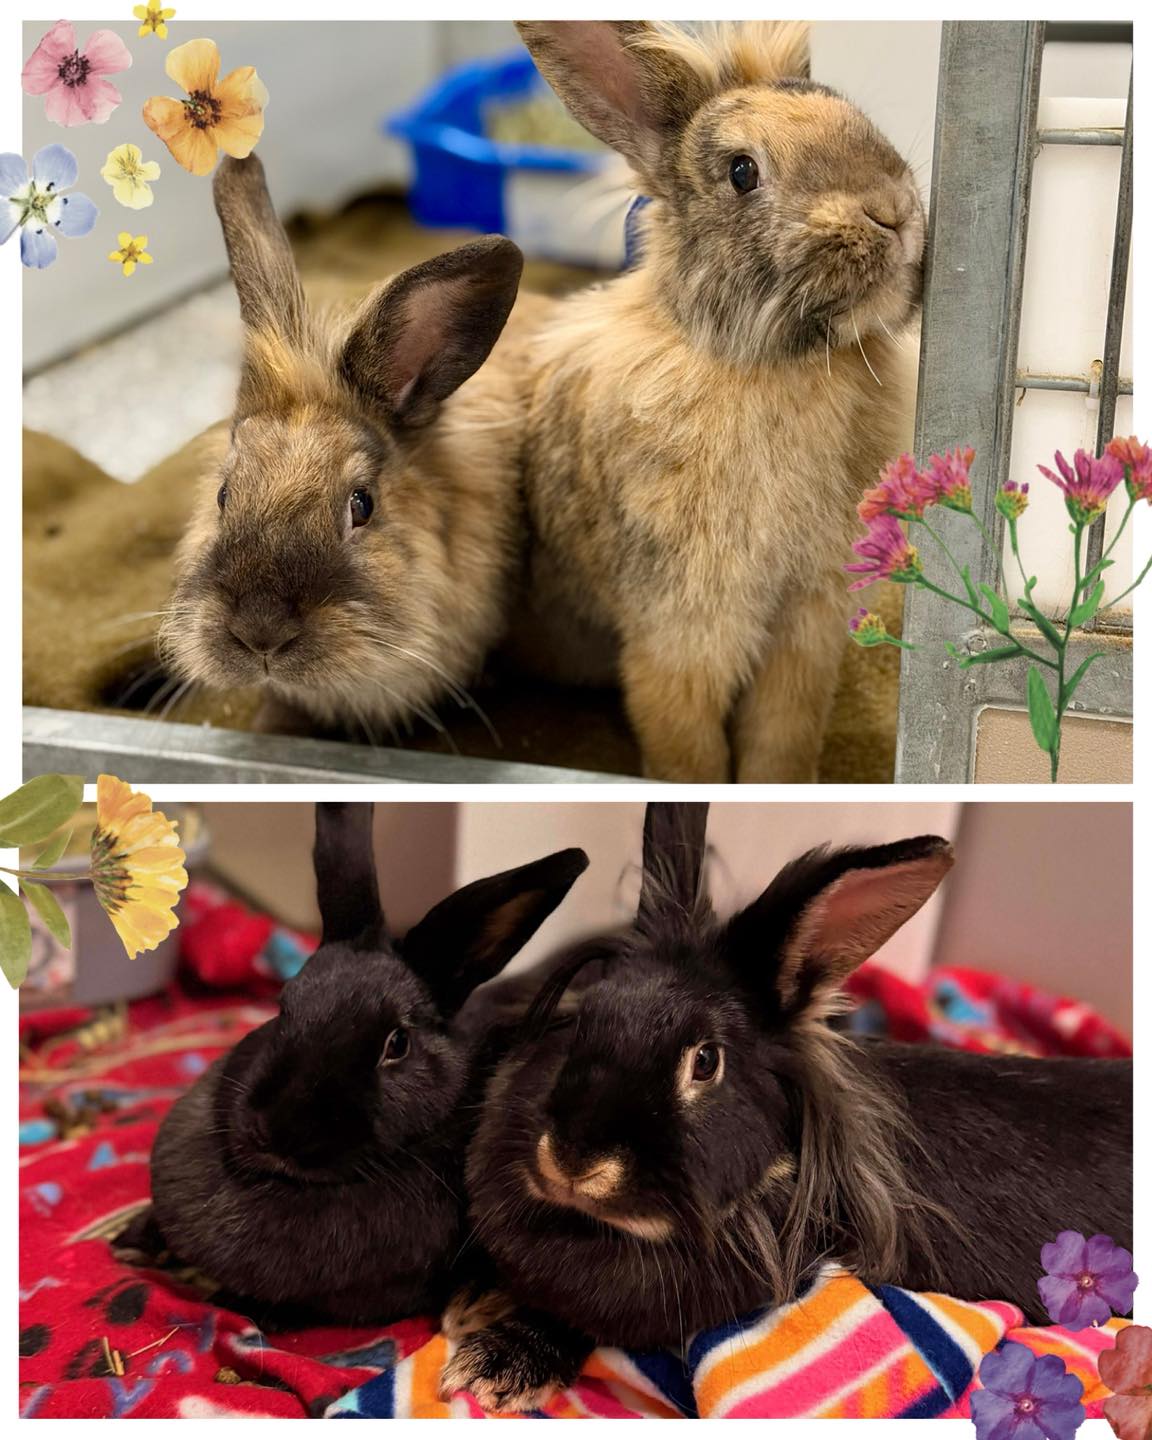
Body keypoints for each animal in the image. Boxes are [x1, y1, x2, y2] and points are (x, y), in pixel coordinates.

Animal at [509, 21, 926, 781]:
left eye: (848, 108)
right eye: (741, 172)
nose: (894, 212)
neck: (768, 364)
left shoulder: (806, 627)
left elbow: (782, 737)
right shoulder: (681, 632)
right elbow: (688, 750)